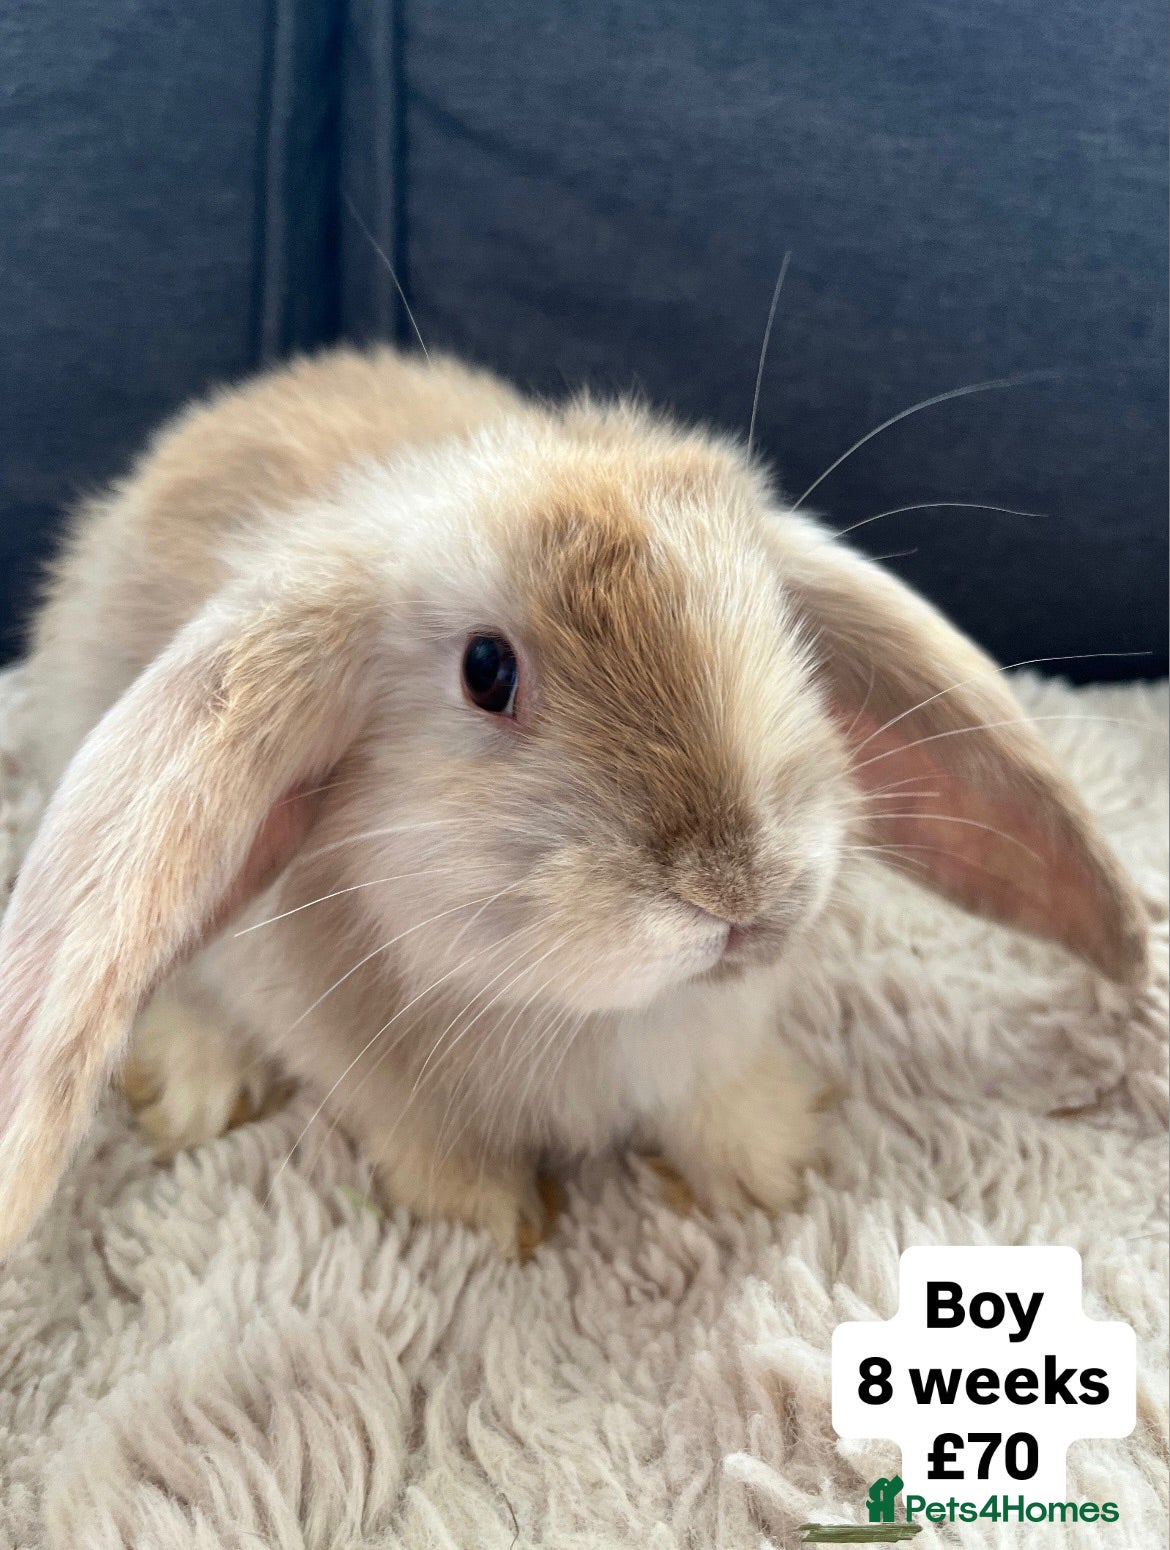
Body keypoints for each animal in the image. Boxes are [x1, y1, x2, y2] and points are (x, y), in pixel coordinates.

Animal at [0, 345, 1149, 1257]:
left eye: (782, 629)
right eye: (487, 670)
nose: (737, 889)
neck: (597, 1015)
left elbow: (720, 1105)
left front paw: (769, 1167)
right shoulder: (359, 1066)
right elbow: (423, 1138)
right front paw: (498, 1217)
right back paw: (196, 1084)